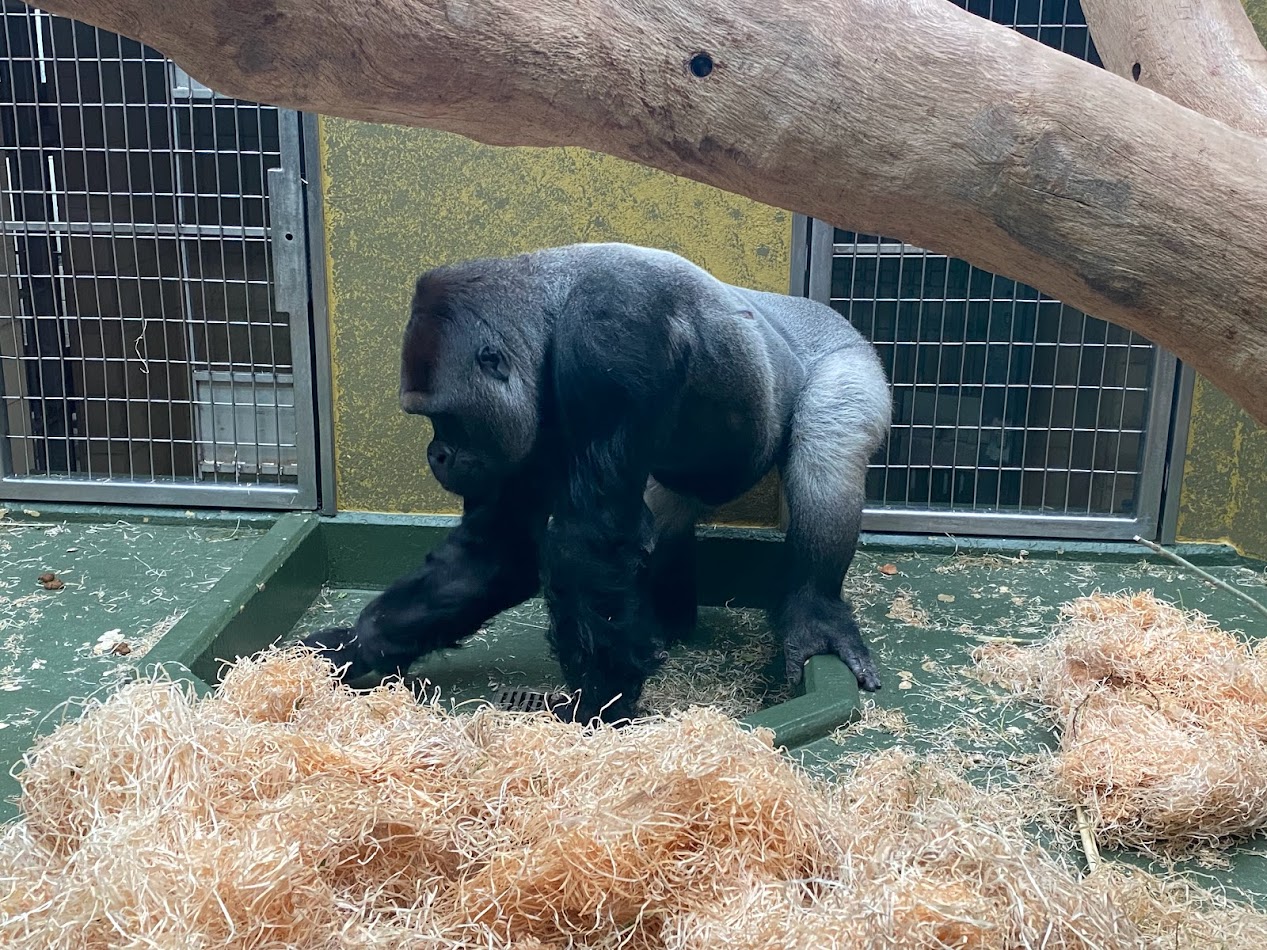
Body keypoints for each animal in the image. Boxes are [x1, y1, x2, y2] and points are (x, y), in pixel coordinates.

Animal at [302, 242, 892, 723]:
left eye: (445, 417)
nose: (436, 455)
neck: (549, 308)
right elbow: (499, 550)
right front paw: (356, 644)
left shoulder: (608, 340)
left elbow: (585, 540)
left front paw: (599, 703)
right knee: (664, 512)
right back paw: (667, 621)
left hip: (848, 355)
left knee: (826, 454)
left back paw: (814, 612)